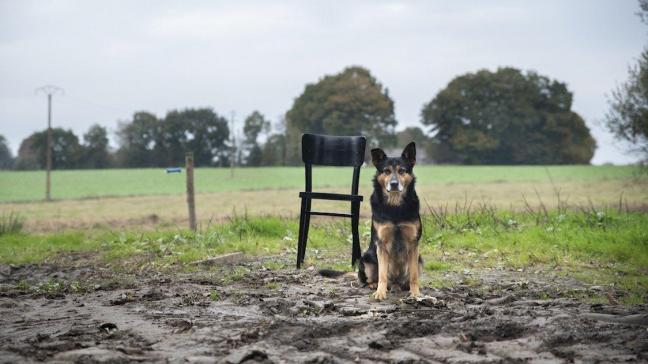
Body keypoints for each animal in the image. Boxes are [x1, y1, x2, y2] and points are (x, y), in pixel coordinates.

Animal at [320, 142, 422, 302]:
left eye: (402, 171)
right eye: (386, 171)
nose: (394, 184)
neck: (395, 207)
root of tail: (395, 283)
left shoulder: (413, 244)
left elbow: (414, 276)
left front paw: (415, 293)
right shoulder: (381, 245)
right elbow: (382, 275)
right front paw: (380, 293)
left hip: (419, 260)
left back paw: (403, 287)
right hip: (367, 259)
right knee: (367, 280)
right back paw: (374, 285)